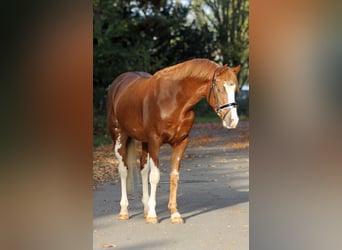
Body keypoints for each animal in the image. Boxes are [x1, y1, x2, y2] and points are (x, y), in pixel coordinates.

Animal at [107, 59, 240, 225]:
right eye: (220, 89)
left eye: (235, 90)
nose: (232, 121)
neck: (173, 100)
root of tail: (118, 83)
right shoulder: (155, 142)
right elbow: (155, 176)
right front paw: (153, 215)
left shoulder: (181, 142)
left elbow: (174, 176)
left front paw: (175, 213)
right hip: (119, 136)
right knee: (123, 170)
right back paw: (124, 211)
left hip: (144, 142)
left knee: (143, 169)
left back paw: (145, 209)